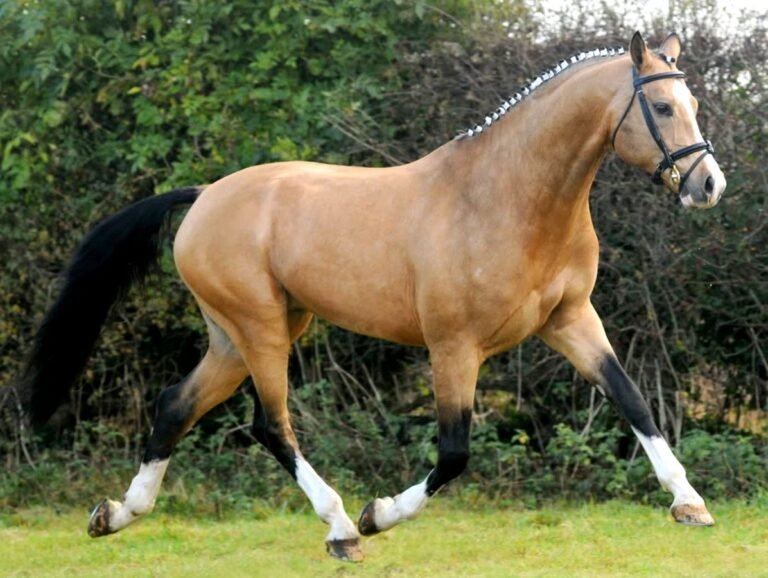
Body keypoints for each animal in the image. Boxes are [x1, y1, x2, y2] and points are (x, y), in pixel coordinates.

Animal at [18, 31, 725, 562]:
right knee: (270, 426)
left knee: (174, 405)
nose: (709, 185)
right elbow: (454, 453)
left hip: (239, 336)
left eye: (690, 99)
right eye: (663, 108)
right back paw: (340, 529)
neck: (507, 198)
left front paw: (689, 503)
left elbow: (633, 402)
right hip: (260, 331)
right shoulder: (453, 347)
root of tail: (204, 196)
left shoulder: (571, 320)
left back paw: (116, 514)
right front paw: (379, 513)